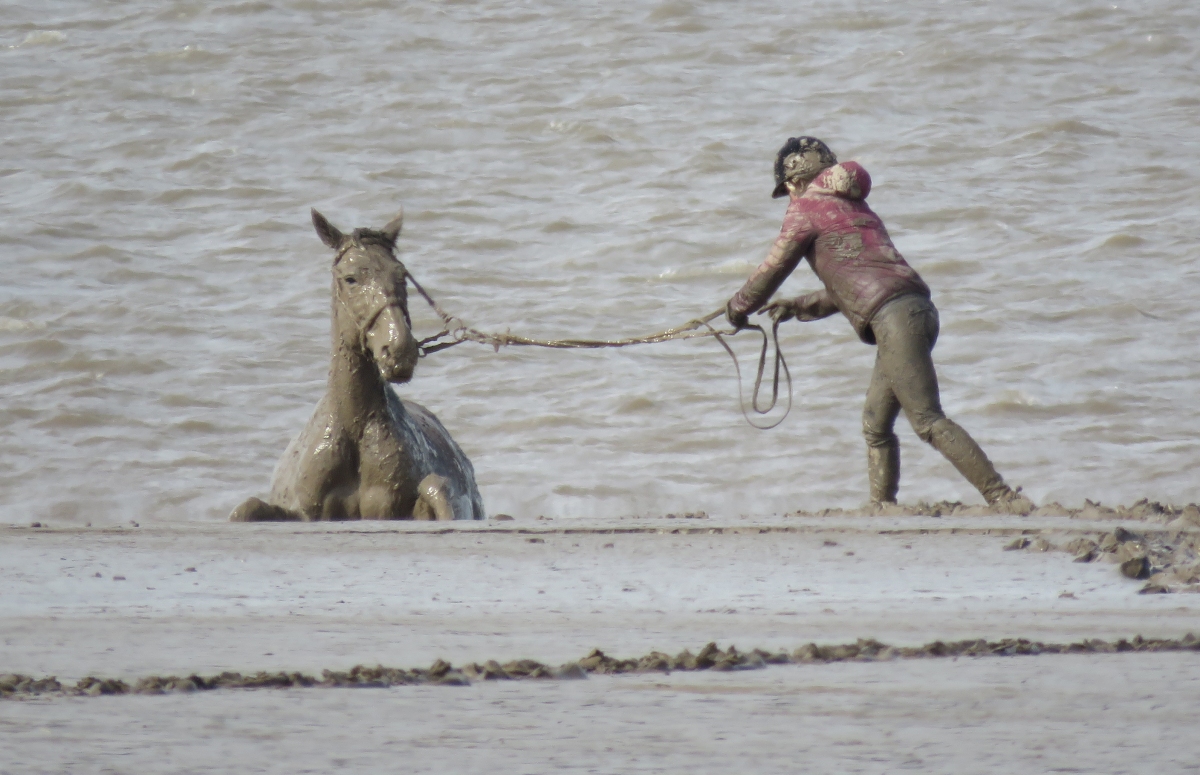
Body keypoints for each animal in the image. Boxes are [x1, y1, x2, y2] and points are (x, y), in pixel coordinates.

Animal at [229, 207, 482, 523]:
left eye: (402, 275)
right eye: (350, 279)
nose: (399, 350)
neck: (355, 430)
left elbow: (435, 490)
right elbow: (246, 509)